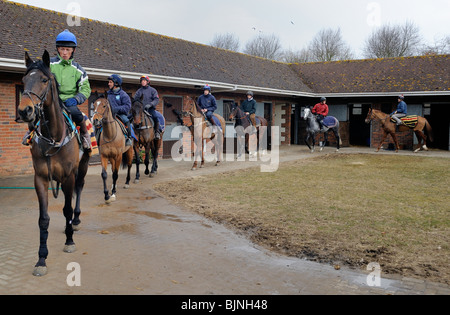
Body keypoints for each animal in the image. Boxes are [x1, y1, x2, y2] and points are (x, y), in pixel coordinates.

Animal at [16, 51, 90, 276]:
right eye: (23, 80)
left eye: (44, 79)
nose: (25, 111)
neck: (54, 137)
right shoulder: (40, 178)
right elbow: (44, 219)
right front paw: (41, 259)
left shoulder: (68, 177)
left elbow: (66, 209)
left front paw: (69, 241)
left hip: (82, 167)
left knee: (79, 191)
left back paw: (75, 221)